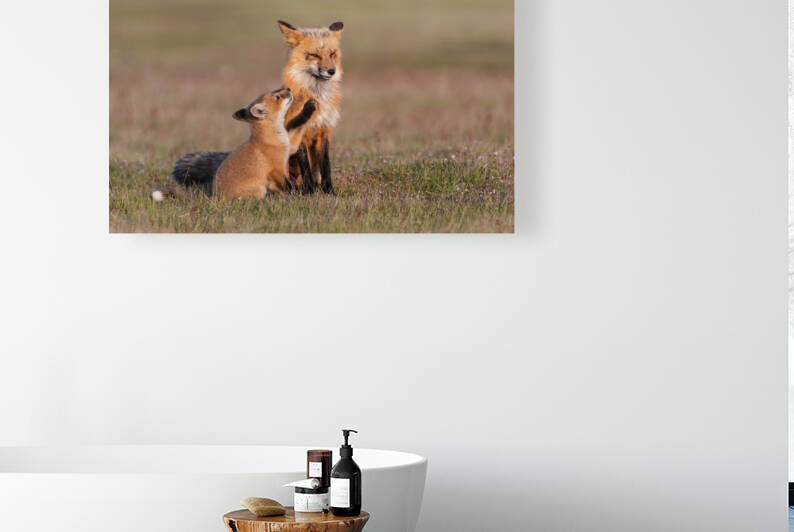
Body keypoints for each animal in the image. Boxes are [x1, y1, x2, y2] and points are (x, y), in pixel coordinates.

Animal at [169, 20, 344, 195]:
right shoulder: (300, 134)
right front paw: (309, 192)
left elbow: (325, 166)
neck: (318, 94)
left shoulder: (323, 131)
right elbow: (305, 167)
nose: (331, 71)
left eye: (332, 54)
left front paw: (329, 191)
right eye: (314, 55)